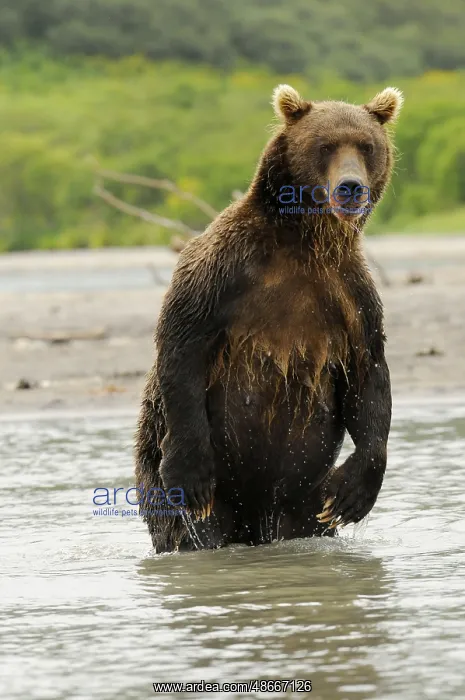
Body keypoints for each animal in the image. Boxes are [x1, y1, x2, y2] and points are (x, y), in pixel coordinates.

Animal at [135, 83, 403, 552]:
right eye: (325, 145)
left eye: (367, 146)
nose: (351, 187)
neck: (304, 241)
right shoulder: (223, 268)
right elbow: (183, 344)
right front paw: (190, 472)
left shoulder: (352, 292)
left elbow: (367, 371)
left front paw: (352, 493)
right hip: (194, 479)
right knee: (196, 530)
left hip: (298, 500)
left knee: (302, 522)